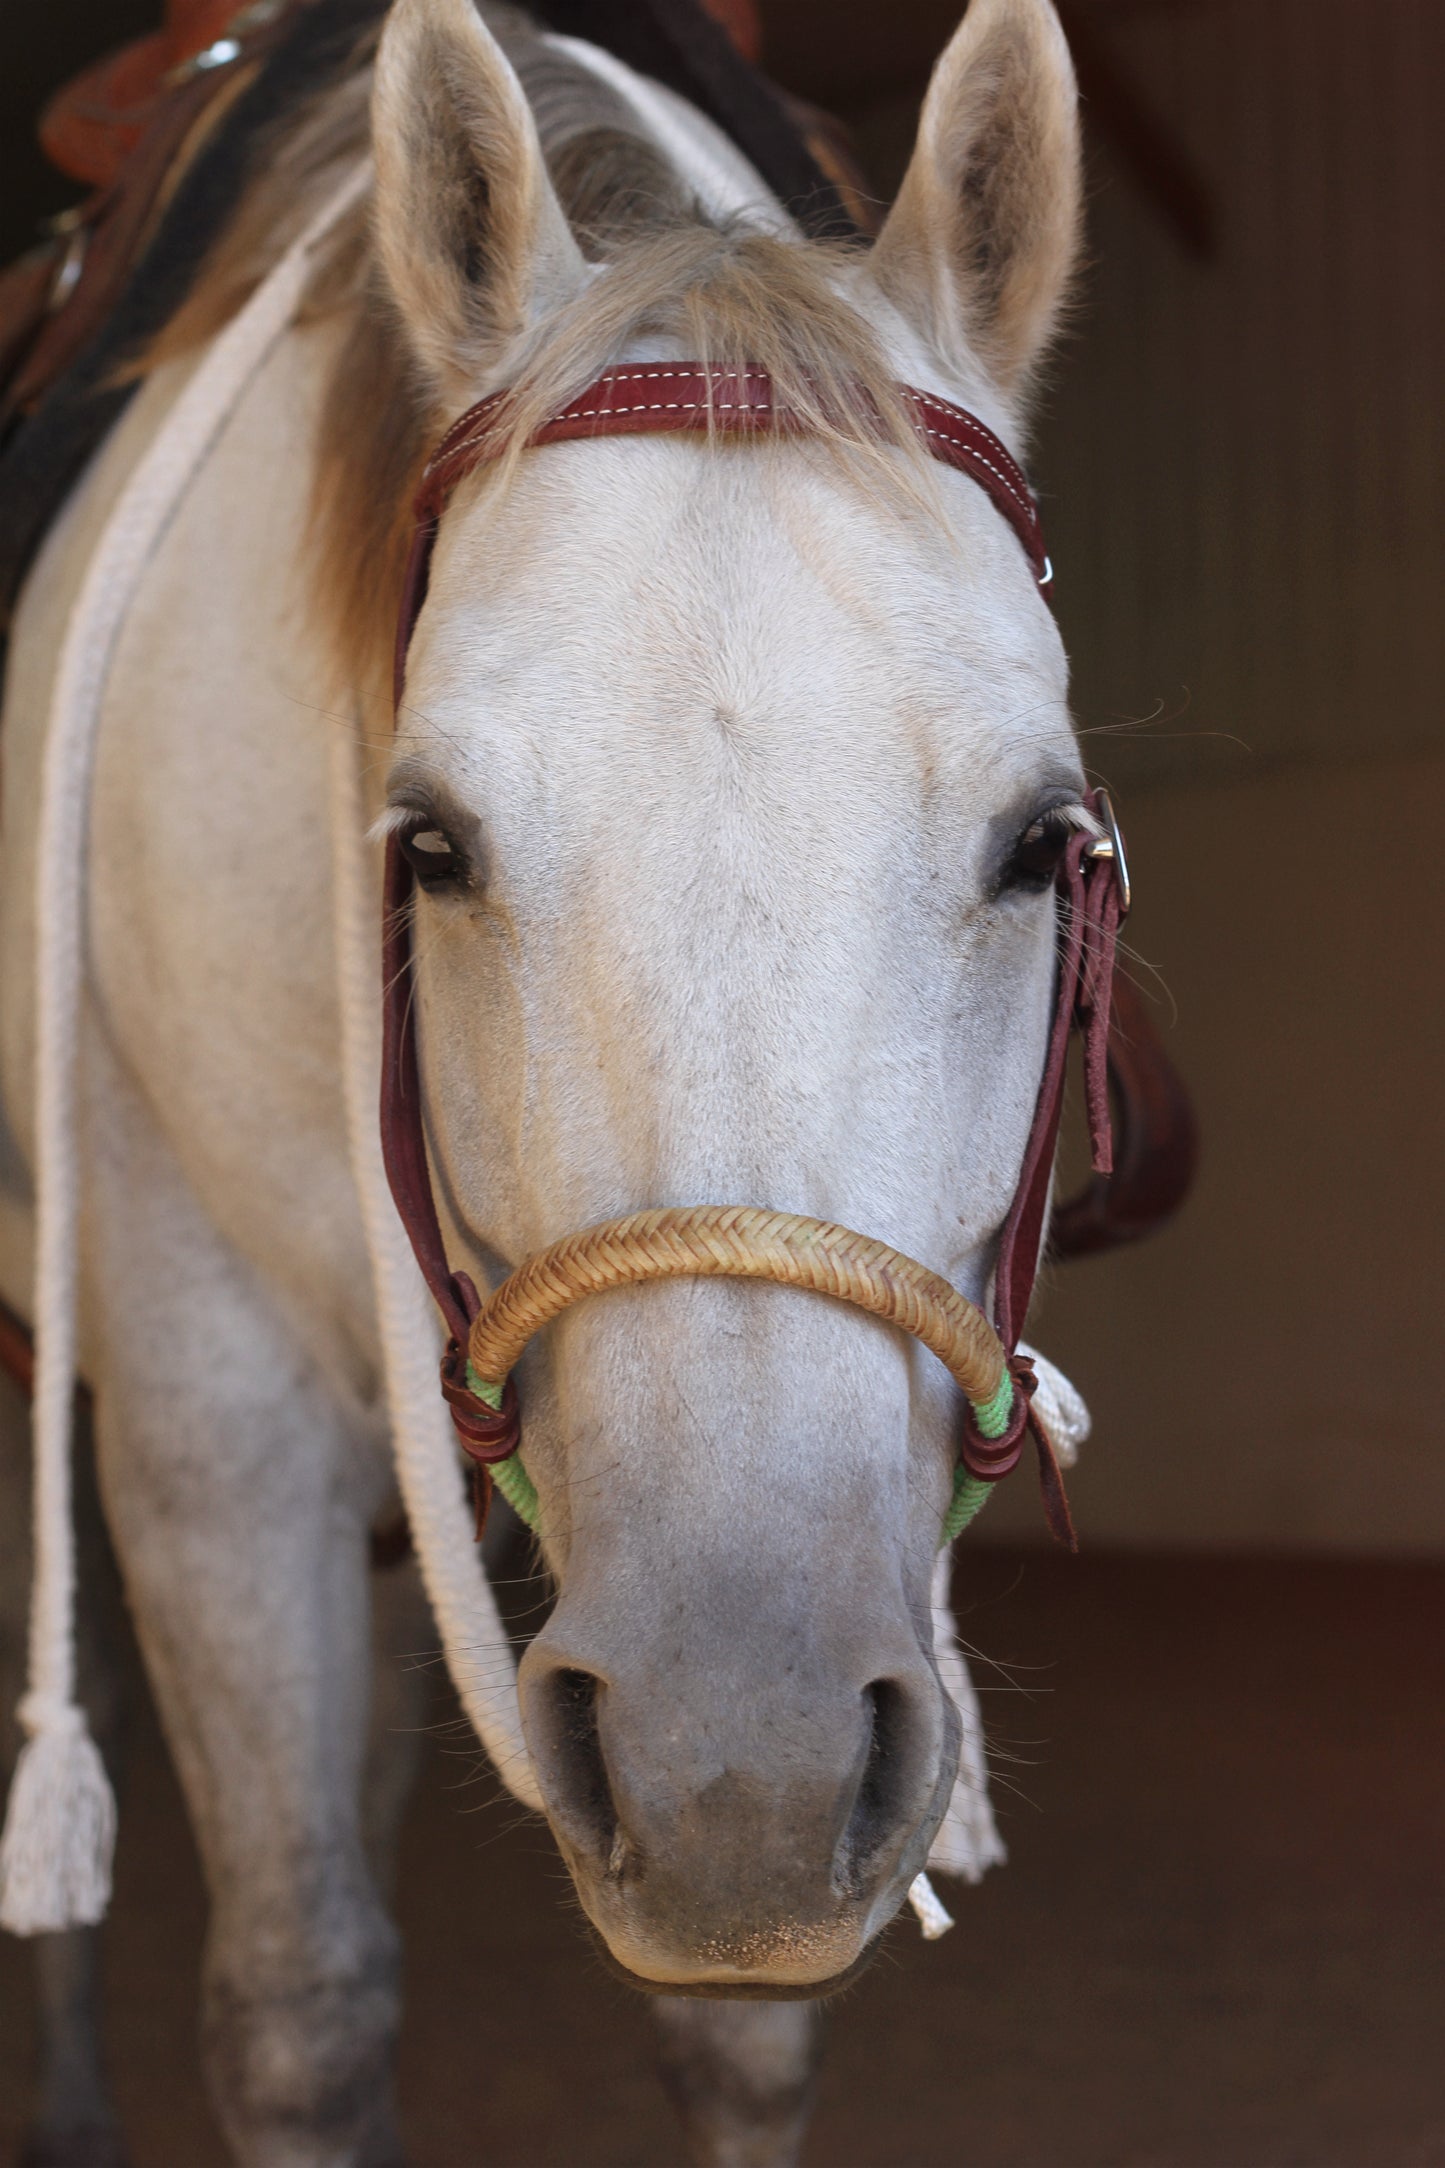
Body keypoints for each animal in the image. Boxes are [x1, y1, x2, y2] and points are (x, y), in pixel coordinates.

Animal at [0, 0, 1083, 2159]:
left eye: (1037, 841)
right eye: (428, 844)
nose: (739, 1763)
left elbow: (743, 2039)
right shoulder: (209, 1412)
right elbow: (301, 2007)